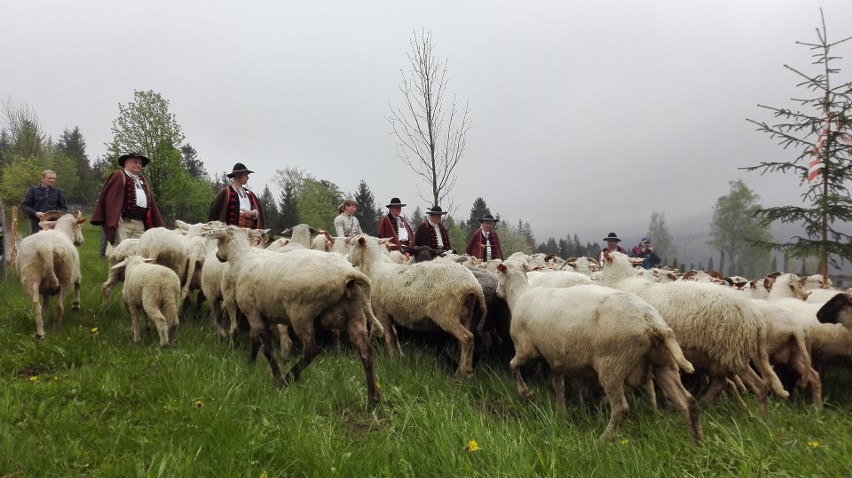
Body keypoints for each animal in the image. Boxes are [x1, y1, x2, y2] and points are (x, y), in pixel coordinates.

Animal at [213, 226, 380, 406]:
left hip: (301, 313)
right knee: (366, 351)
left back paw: (289, 378)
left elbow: (267, 348)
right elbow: (255, 340)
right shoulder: (263, 315)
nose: (217, 256)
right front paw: (250, 363)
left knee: (312, 350)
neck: (243, 261)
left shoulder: (253, 312)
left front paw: (276, 376)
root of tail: (349, 273)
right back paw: (373, 398)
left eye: (219, 240)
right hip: (355, 313)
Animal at [346, 233, 486, 380]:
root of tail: (473, 285)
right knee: (465, 342)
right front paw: (399, 357)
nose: (347, 260)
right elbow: (394, 336)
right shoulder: (389, 314)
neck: (374, 270)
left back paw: (460, 375)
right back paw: (465, 371)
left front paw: (392, 360)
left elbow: (389, 339)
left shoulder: (382, 312)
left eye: (352, 244)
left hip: (447, 314)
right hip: (467, 315)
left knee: (467, 338)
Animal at [496, 260, 704, 442]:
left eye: (499, 272)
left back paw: (602, 440)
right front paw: (560, 414)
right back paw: (696, 442)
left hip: (613, 365)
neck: (519, 295)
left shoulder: (525, 348)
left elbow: (513, 365)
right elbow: (559, 387)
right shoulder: (555, 358)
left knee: (621, 409)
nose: (497, 292)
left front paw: (525, 393)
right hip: (663, 361)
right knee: (687, 401)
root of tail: (651, 321)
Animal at [600, 252, 792, 416]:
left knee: (757, 386)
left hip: (731, 351)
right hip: (721, 354)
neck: (622, 281)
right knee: (721, 383)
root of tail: (754, 316)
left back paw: (762, 421)